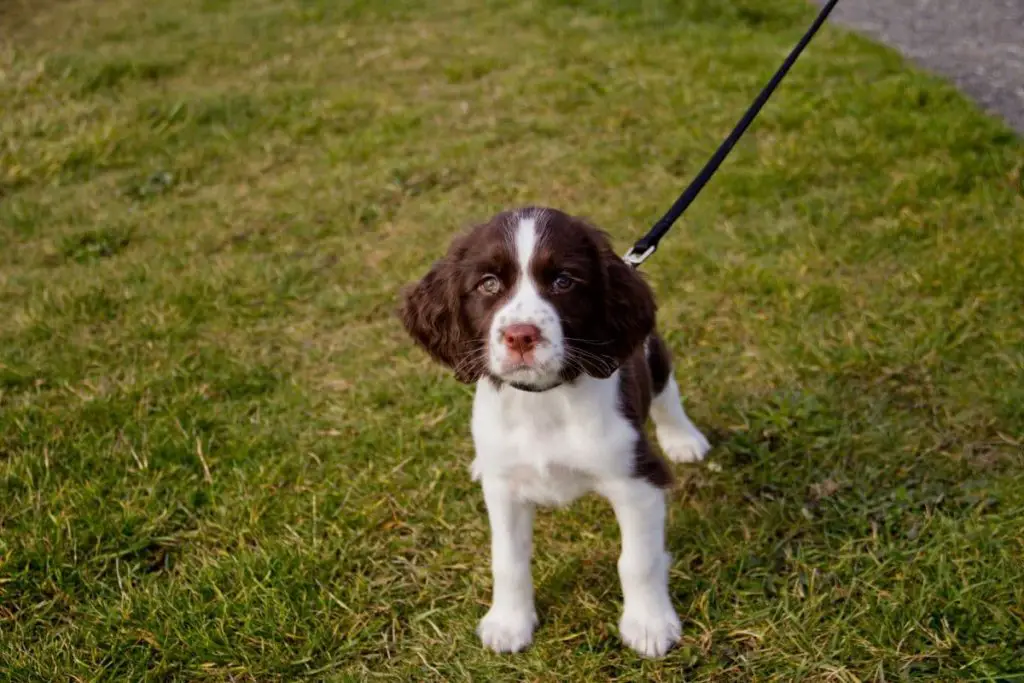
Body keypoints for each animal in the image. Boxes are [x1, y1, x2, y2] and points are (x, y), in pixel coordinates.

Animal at [399, 206, 712, 655]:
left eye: (564, 281)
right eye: (488, 283)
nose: (520, 336)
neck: (543, 401)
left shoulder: (637, 483)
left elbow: (638, 561)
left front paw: (649, 625)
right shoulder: (504, 491)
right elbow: (507, 560)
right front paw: (509, 623)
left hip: (651, 357)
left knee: (667, 392)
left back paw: (683, 439)